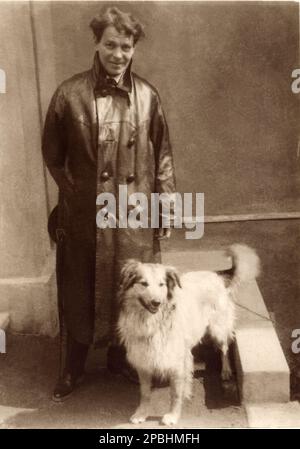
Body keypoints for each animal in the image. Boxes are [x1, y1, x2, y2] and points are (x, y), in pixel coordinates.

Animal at [117, 243, 260, 426]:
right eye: (144, 283)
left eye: (162, 284)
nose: (157, 302)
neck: (151, 321)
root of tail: (215, 274)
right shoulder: (143, 360)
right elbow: (145, 392)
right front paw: (141, 413)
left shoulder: (178, 362)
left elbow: (175, 393)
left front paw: (172, 416)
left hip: (218, 329)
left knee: (225, 347)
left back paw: (226, 371)